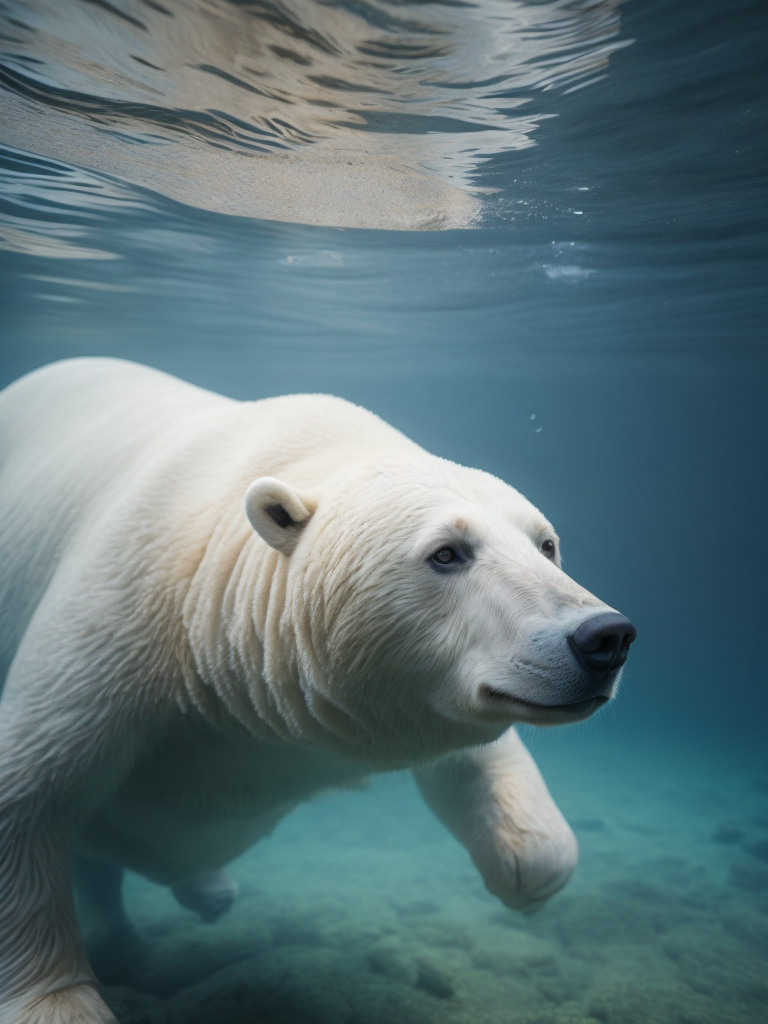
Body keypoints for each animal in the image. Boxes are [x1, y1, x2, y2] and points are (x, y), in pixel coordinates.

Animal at [0, 360, 638, 1024]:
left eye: (546, 543)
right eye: (446, 552)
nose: (603, 637)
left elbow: (475, 757)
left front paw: (527, 866)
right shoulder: (123, 610)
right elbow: (28, 790)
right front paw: (59, 1003)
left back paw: (208, 889)